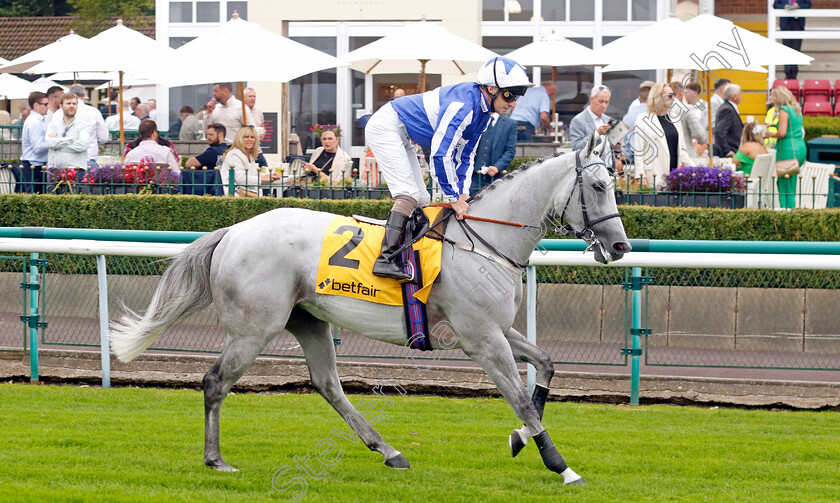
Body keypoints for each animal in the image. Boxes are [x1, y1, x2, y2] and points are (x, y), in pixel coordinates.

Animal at [108, 130, 628, 484]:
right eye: (600, 187)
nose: (621, 246)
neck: (484, 240)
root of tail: (232, 231)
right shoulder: (479, 337)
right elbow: (519, 396)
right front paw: (561, 466)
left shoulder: (497, 328)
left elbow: (547, 364)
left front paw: (521, 438)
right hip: (254, 329)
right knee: (215, 381)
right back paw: (216, 459)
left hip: (308, 321)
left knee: (328, 385)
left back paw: (389, 450)